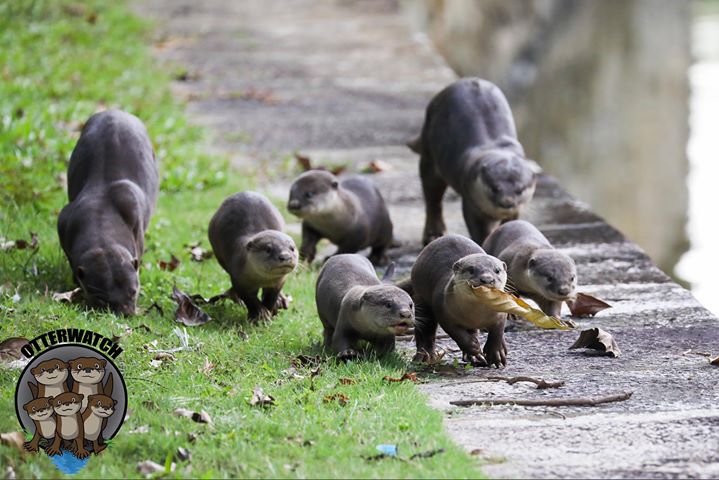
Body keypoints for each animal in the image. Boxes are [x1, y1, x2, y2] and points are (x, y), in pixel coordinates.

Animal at [208, 191, 298, 322]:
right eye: (268, 249)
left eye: (292, 248)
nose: (285, 257)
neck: (261, 279)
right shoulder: (240, 280)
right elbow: (249, 299)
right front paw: (259, 314)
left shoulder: (279, 282)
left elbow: (271, 298)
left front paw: (270, 309)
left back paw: (281, 300)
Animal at [404, 233, 512, 368]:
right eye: (471, 270)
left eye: (497, 270)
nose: (487, 279)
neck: (477, 316)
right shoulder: (444, 312)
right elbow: (457, 334)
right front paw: (473, 346)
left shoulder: (501, 312)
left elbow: (497, 332)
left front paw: (496, 353)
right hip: (421, 299)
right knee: (426, 331)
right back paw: (424, 357)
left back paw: (477, 357)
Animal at [408, 78, 536, 246]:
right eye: (495, 188)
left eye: (519, 190)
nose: (506, 202)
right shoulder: (471, 202)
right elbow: (478, 229)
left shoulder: (516, 210)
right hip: (429, 156)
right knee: (433, 199)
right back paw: (433, 235)